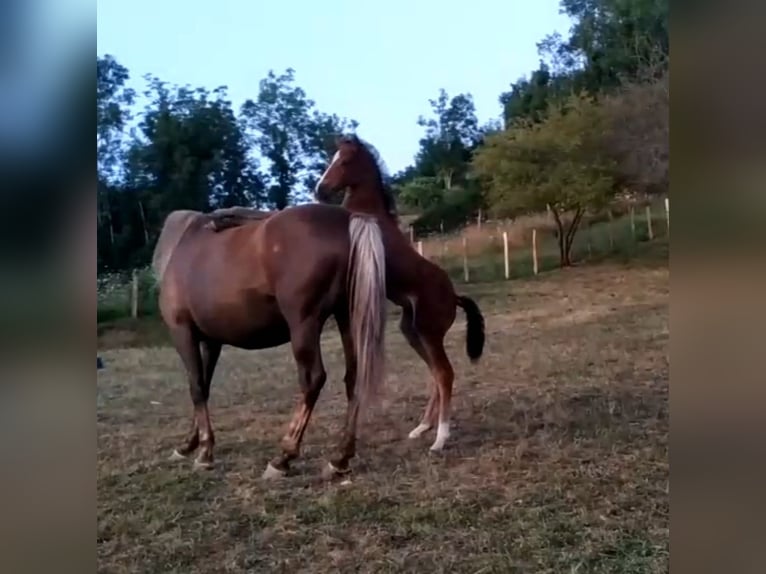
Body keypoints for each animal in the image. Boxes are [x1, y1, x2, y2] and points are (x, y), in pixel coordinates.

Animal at [152, 200, 390, 480]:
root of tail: (347, 221)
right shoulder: (211, 341)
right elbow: (204, 387)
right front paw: (191, 443)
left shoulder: (183, 333)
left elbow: (196, 387)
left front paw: (203, 453)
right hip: (348, 316)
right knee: (354, 378)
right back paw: (339, 458)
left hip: (304, 323)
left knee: (312, 379)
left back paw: (283, 457)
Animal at [314, 135, 486, 454]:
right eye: (332, 158)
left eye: (345, 161)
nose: (320, 190)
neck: (369, 209)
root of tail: (454, 296)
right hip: (412, 331)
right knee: (436, 374)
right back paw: (422, 428)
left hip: (429, 332)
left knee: (445, 373)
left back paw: (440, 439)